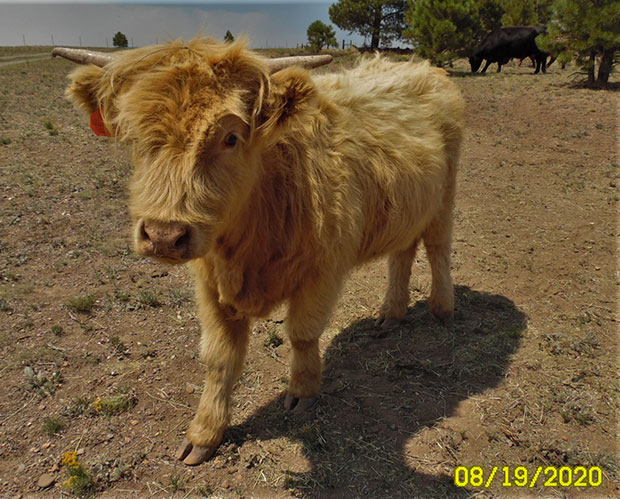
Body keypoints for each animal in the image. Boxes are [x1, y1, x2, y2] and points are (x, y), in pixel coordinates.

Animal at [55, 37, 464, 466]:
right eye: (133, 137)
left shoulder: (323, 271)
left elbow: (302, 334)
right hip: (408, 205)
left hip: (444, 196)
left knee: (437, 249)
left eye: (230, 137)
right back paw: (391, 314)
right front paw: (205, 432)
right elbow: (219, 357)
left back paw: (443, 308)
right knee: (402, 252)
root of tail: (420, 66)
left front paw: (302, 392)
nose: (164, 235)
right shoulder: (209, 283)